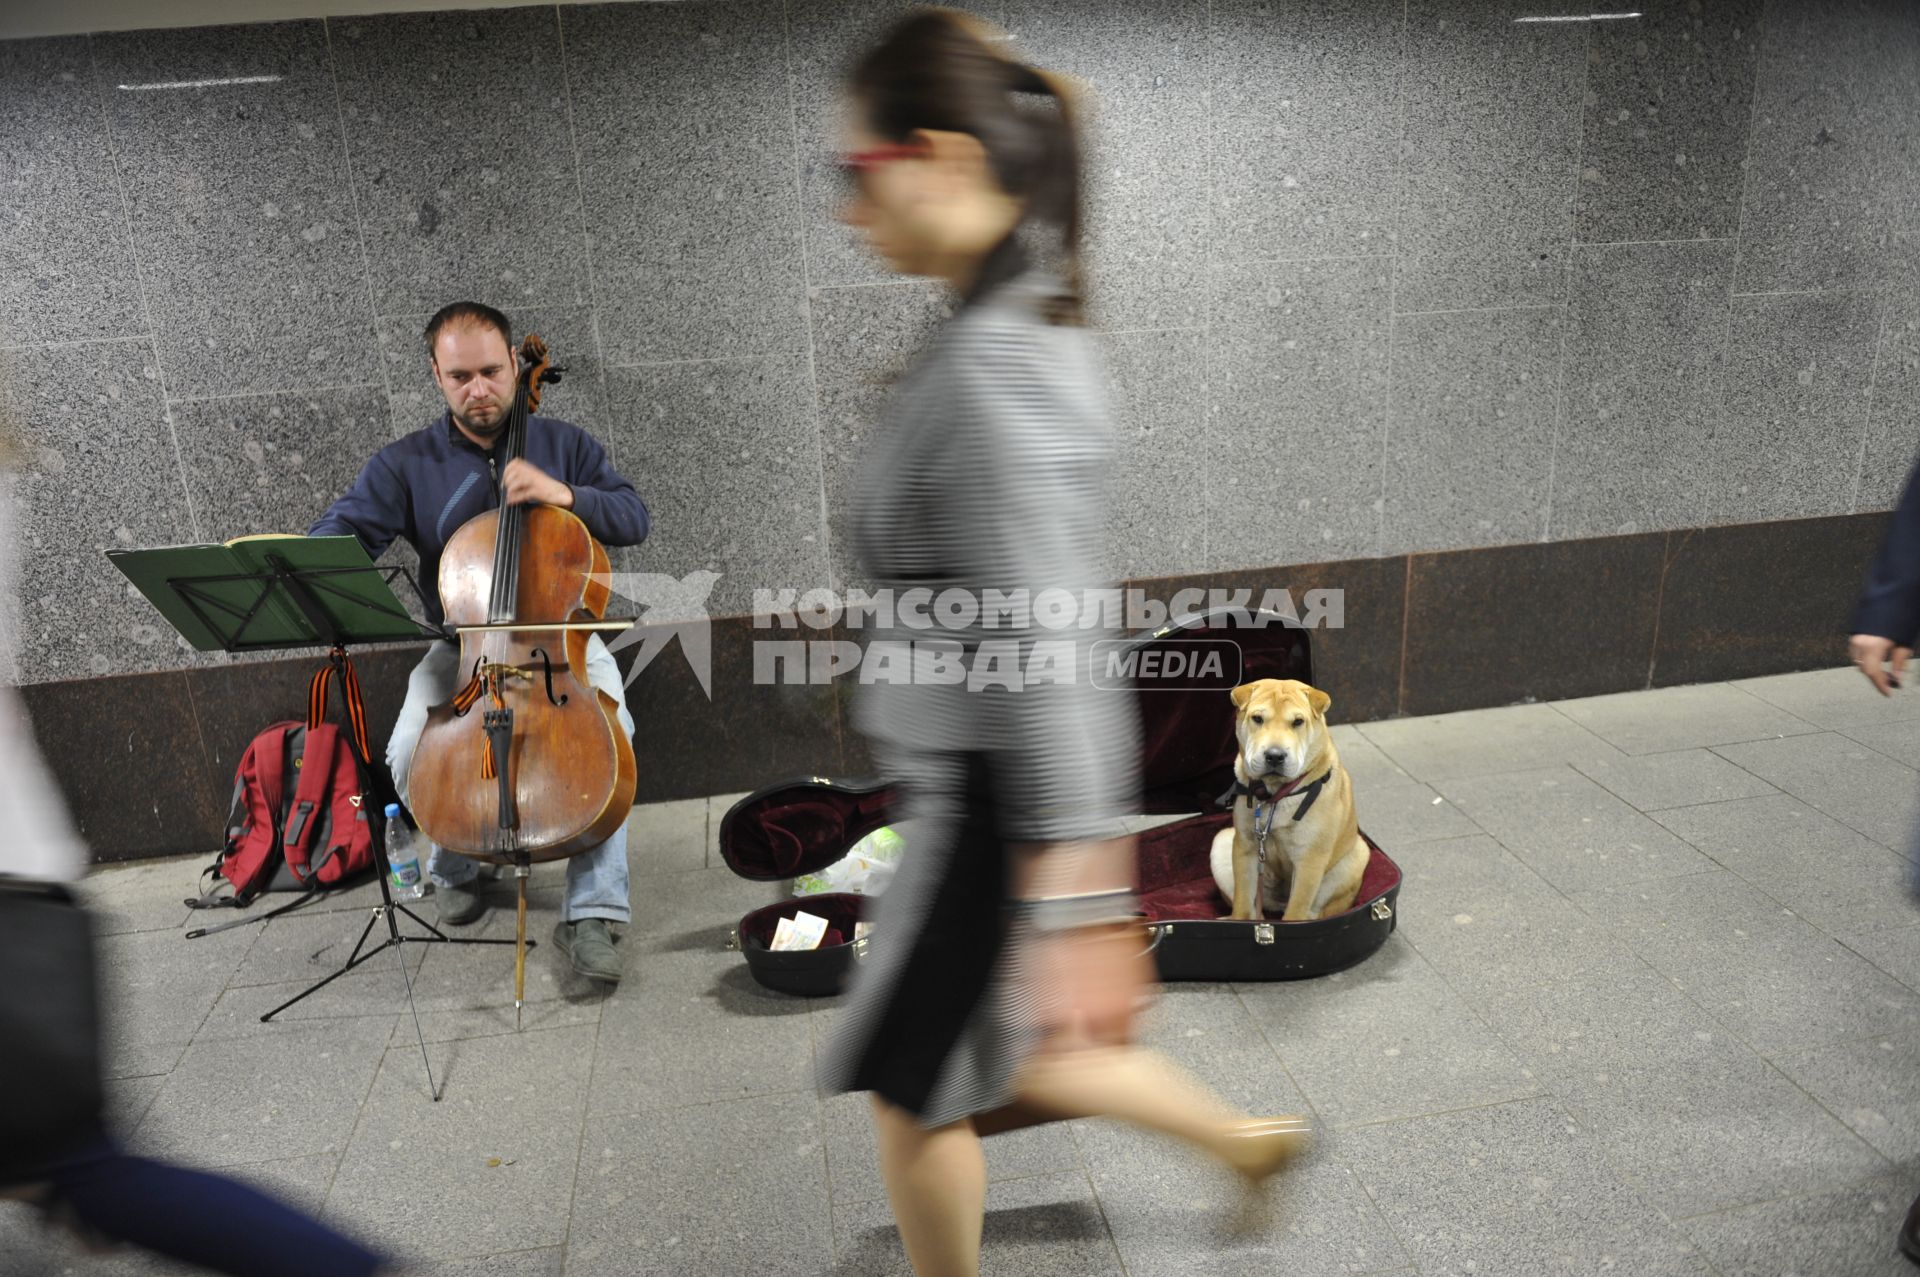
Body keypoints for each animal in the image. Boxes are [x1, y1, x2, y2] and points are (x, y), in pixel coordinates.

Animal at [1205, 675, 1374, 917]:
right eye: (1257, 718)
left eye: (1298, 722)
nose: (1275, 756)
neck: (1275, 794)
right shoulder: (1245, 848)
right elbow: (1242, 903)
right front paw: (1239, 919)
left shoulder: (1309, 859)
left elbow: (1296, 912)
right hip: (1222, 841)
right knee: (1254, 911)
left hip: (1356, 856)